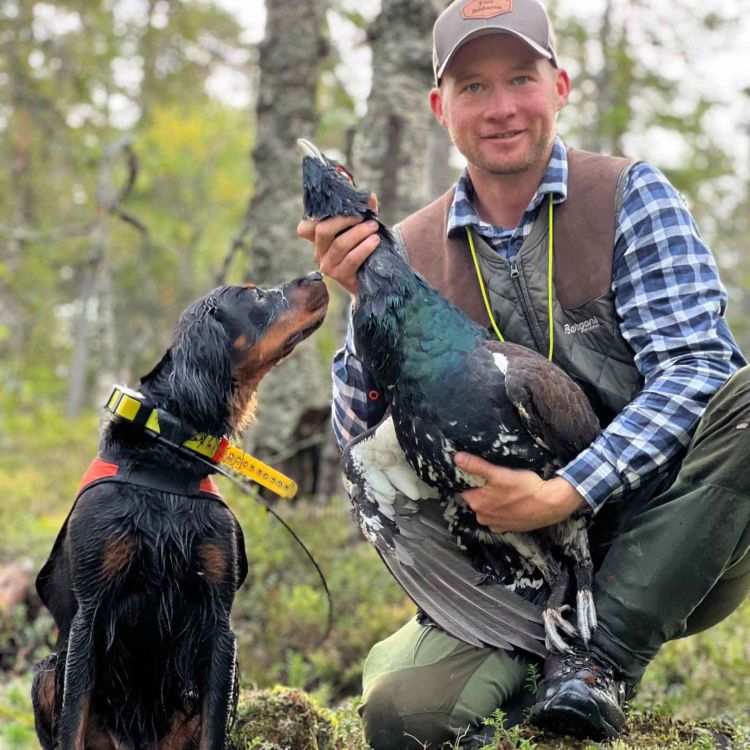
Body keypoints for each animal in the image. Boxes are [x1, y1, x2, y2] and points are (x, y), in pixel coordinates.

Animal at [31, 274, 332, 748]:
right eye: (255, 294)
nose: (318, 275)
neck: (168, 451)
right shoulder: (89, 613)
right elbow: (73, 723)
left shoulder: (218, 620)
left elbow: (214, 730)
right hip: (45, 673)